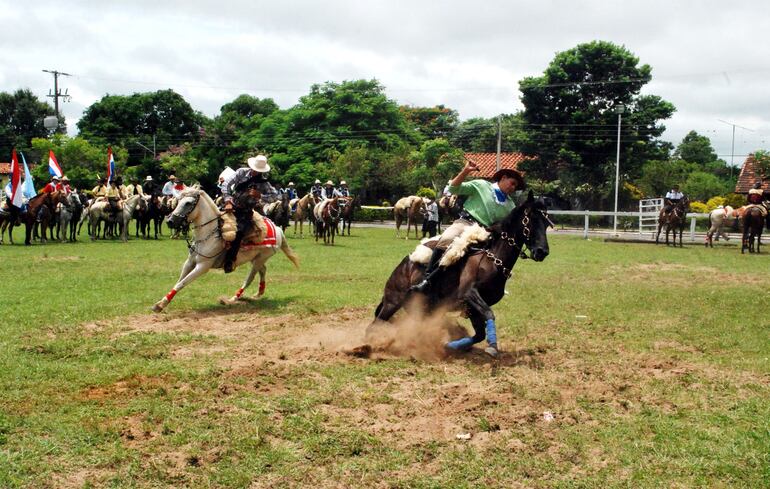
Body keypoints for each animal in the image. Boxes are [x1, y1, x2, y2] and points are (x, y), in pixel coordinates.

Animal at [152, 188, 298, 312]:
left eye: (188, 203)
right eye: (178, 201)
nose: (170, 221)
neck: (210, 234)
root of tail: (277, 229)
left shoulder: (202, 266)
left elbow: (182, 283)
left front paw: (160, 305)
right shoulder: (189, 262)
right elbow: (179, 281)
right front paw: (161, 303)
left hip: (260, 258)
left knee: (249, 278)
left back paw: (232, 299)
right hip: (255, 258)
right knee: (263, 270)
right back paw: (258, 293)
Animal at [368, 192, 548, 358]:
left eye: (546, 223)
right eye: (531, 219)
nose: (542, 251)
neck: (492, 259)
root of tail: (403, 265)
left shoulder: (472, 307)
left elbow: (479, 334)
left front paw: (450, 346)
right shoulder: (469, 294)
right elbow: (489, 314)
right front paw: (492, 346)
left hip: (421, 309)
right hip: (392, 302)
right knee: (374, 325)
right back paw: (367, 347)